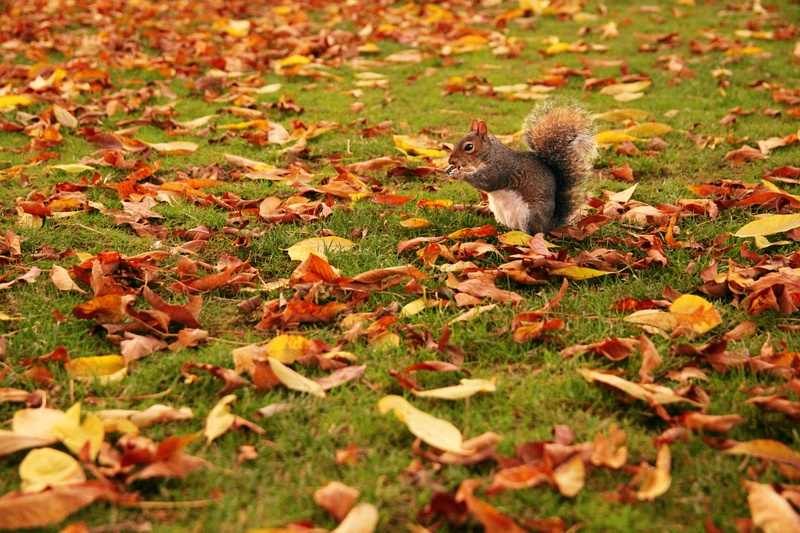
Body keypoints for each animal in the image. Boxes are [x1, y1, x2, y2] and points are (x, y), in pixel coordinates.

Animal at [445, 100, 597, 235]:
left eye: (469, 147)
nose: (451, 160)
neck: (488, 155)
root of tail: (550, 224)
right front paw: (450, 169)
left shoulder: (500, 169)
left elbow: (487, 182)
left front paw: (460, 175)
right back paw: (503, 231)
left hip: (530, 215)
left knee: (535, 234)